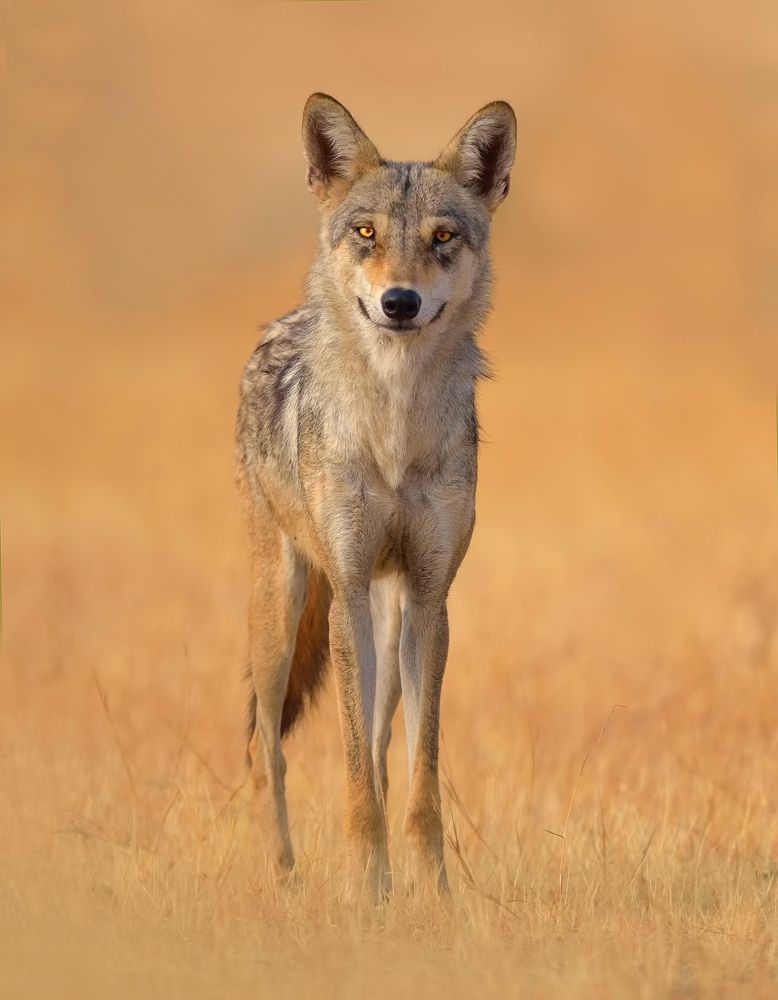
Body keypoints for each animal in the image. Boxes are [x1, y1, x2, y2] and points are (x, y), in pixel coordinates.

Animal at [235, 93, 516, 899]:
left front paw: (433, 896)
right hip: (281, 614)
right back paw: (284, 878)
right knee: (268, 750)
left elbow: (419, 778)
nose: (399, 301)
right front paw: (367, 893)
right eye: (365, 233)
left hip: (389, 636)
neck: (394, 429)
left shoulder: (429, 598)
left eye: (442, 237)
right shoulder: (351, 589)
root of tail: (284, 321)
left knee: (387, 741)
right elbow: (355, 774)